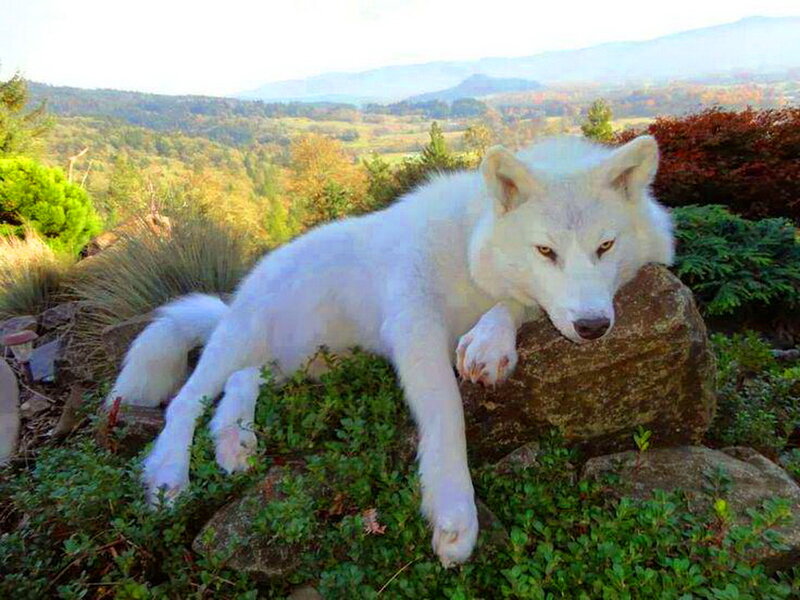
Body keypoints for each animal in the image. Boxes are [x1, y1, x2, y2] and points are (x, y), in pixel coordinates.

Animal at [109, 134, 674, 566]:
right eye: (546, 251)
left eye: (605, 246)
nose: (593, 327)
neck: (465, 249)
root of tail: (234, 297)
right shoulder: (414, 327)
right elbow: (447, 415)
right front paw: (455, 514)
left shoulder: (517, 303)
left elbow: (514, 308)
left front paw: (490, 342)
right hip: (244, 339)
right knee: (187, 402)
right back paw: (168, 478)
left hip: (297, 364)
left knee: (240, 383)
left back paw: (235, 444)